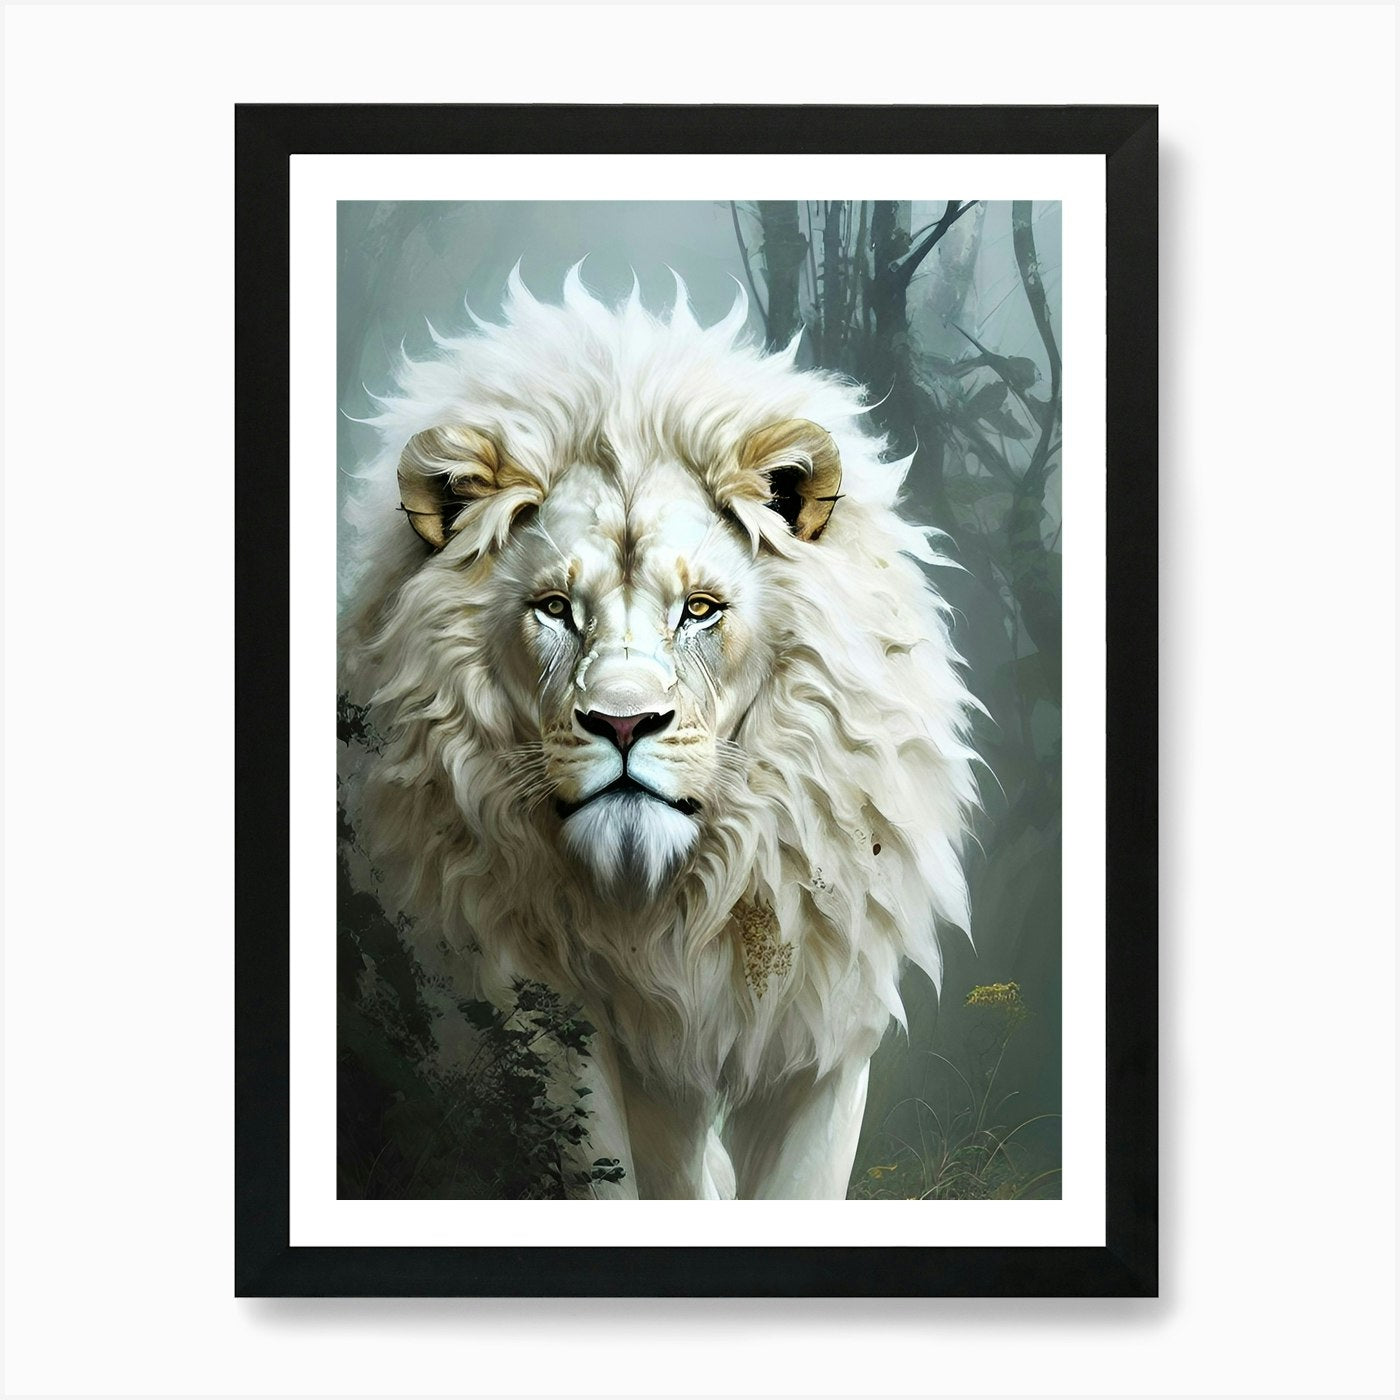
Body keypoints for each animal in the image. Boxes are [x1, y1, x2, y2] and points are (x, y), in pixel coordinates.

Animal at [338, 266, 978, 1199]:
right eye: (556, 608)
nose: (624, 721)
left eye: (700, 609)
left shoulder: (820, 1028)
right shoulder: (543, 1027)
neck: (663, 909)